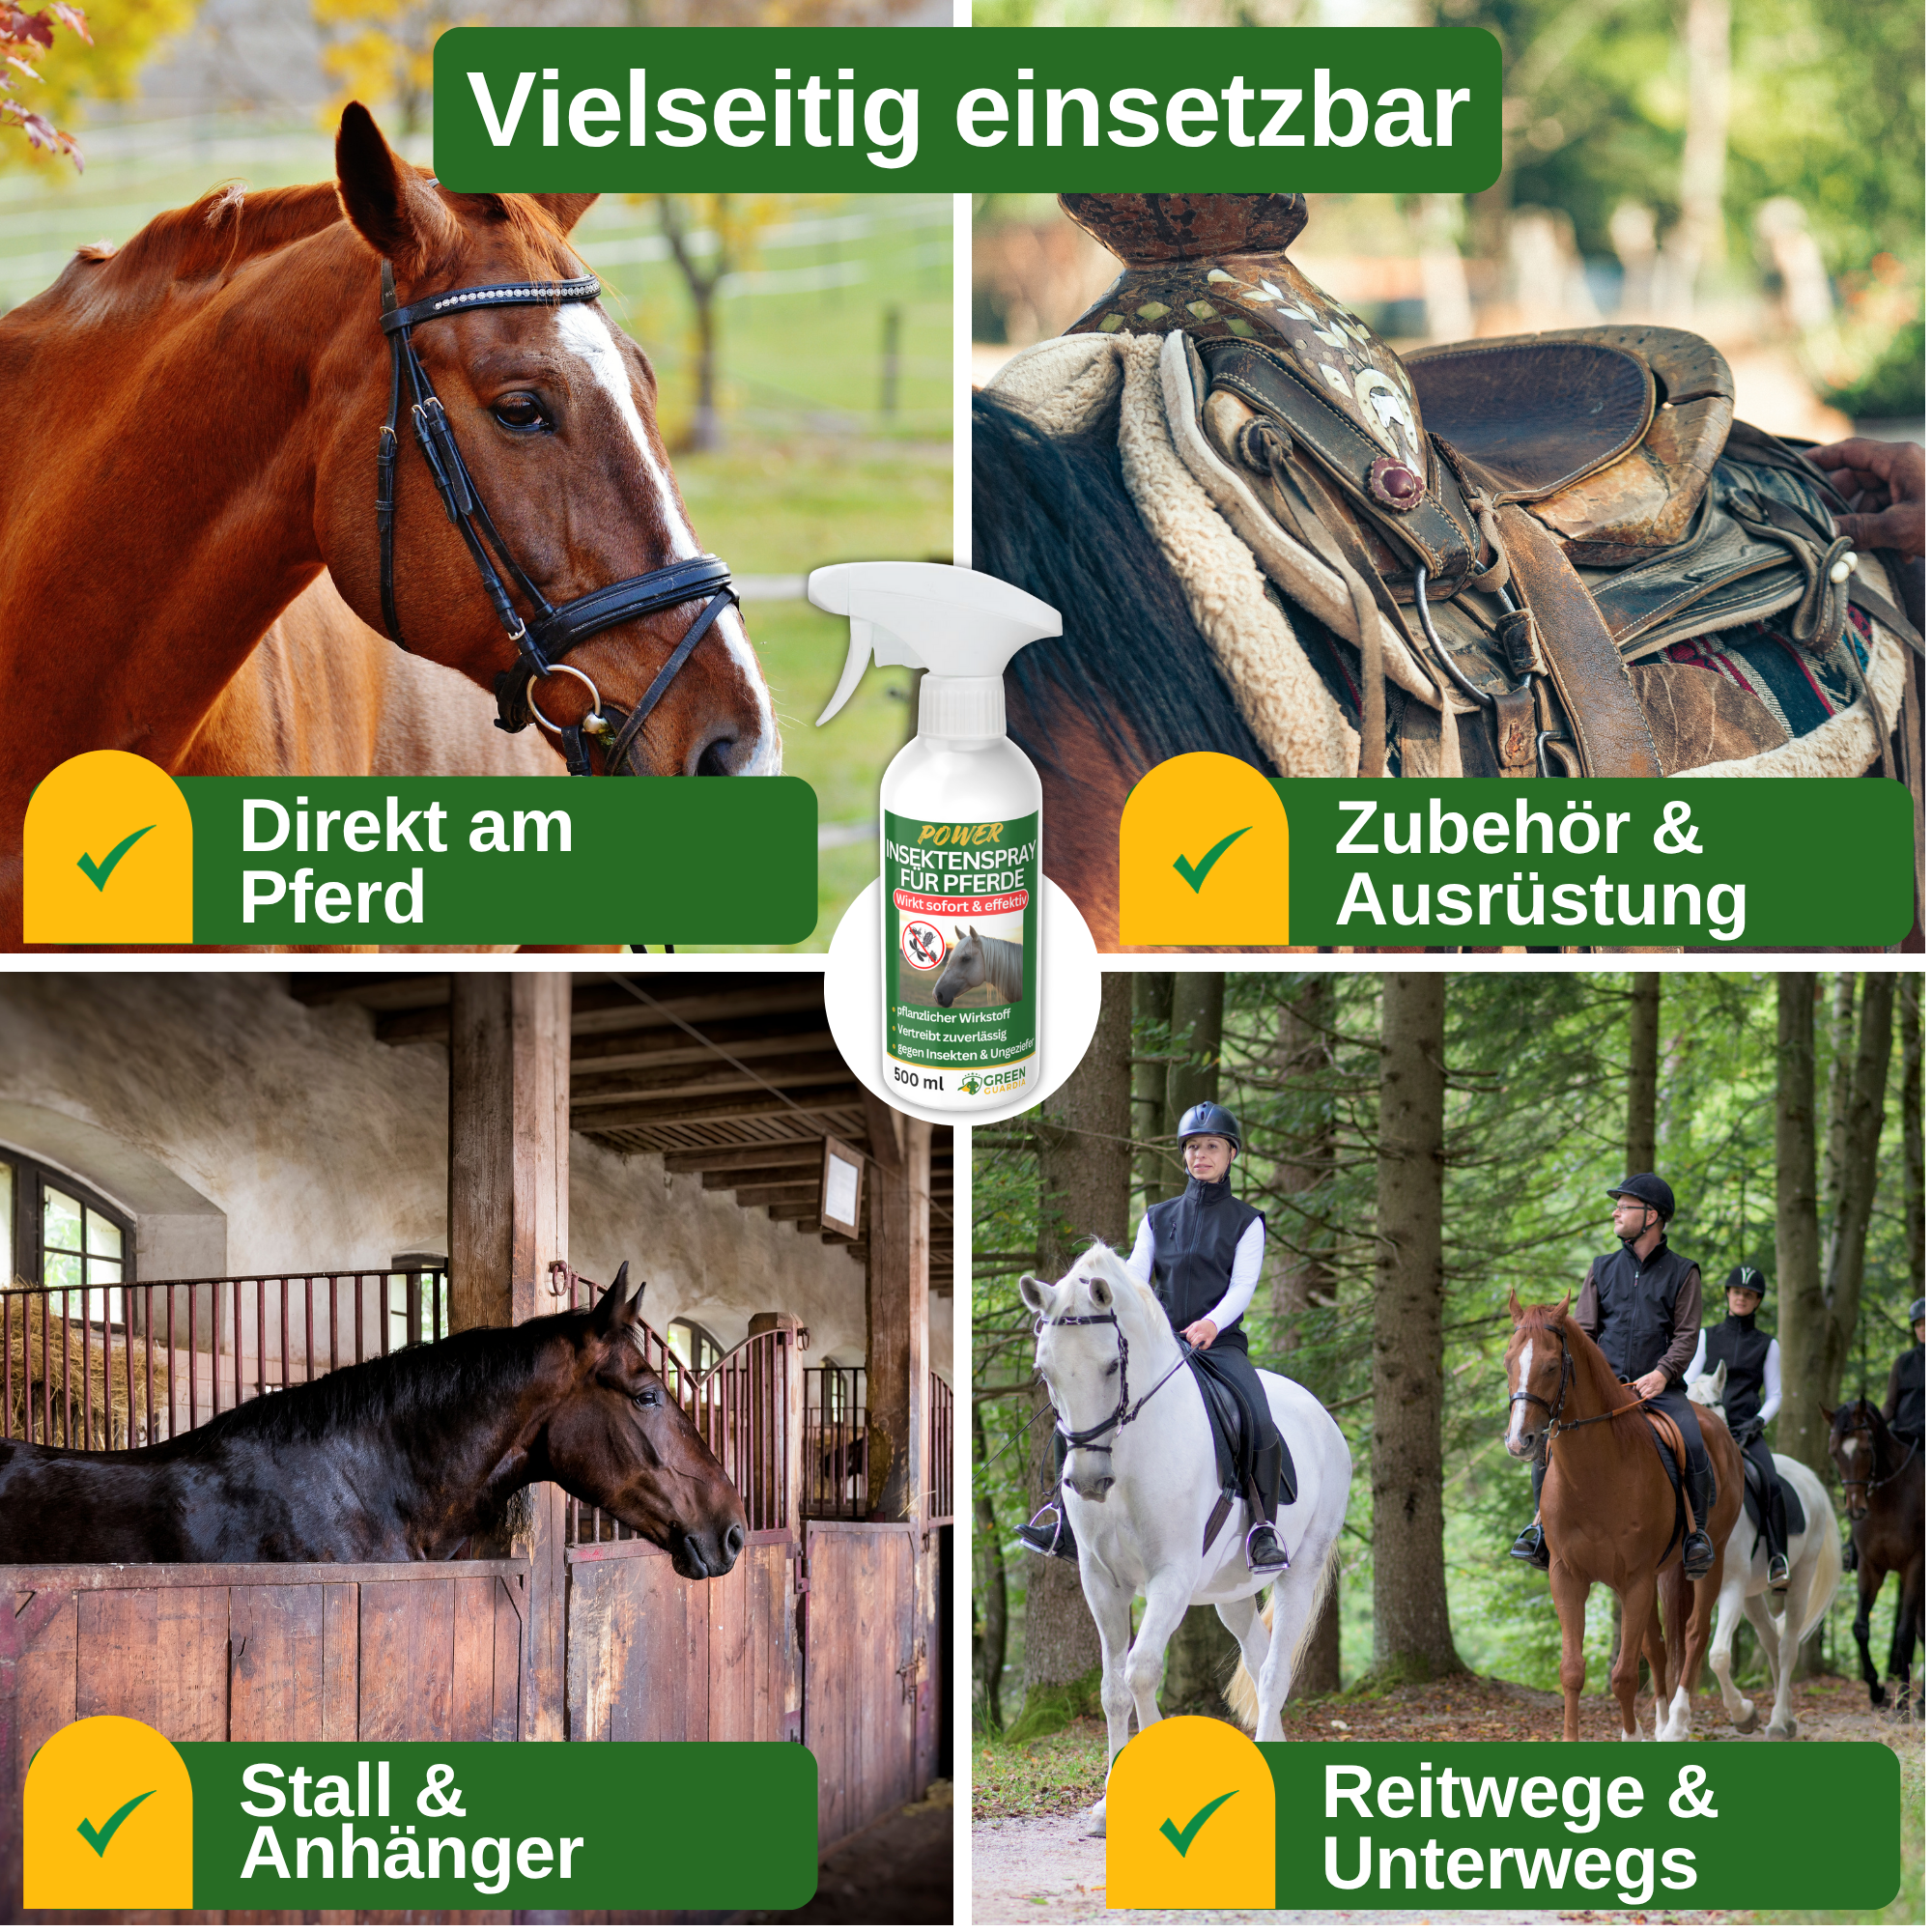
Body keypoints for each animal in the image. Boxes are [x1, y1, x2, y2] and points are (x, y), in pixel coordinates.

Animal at [1019, 1241, 1350, 1835]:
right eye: (1045, 1369)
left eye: (1111, 1365)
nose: (1087, 1482)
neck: (1129, 1451)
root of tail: (1322, 1418)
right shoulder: (1101, 1581)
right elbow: (1112, 1691)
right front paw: (1107, 1807)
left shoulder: (1169, 1578)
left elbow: (1141, 1673)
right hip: (1230, 1593)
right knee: (1258, 1656)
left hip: (1301, 1569)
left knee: (1274, 1671)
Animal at [1503, 1292, 1743, 1742]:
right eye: (1509, 1361)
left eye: (1551, 1365)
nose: (1519, 1441)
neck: (1595, 1475)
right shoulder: (1568, 1576)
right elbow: (1573, 1671)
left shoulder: (1635, 1580)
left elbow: (1625, 1676)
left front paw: (1633, 1736)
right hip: (1655, 1576)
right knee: (1659, 1646)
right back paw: (1663, 1722)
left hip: (1708, 1560)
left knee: (1695, 1633)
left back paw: (1678, 1723)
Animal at [1684, 1359, 1839, 1738]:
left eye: (1712, 1407)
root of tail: (1809, 1478)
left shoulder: (1730, 1586)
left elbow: (1718, 1656)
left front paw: (1742, 1713)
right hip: (1752, 1594)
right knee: (1770, 1639)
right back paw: (1786, 1716)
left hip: (1799, 1577)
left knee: (1787, 1645)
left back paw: (1779, 1721)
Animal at [1823, 1396, 1925, 1709]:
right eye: (1834, 1454)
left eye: (1866, 1449)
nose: (1855, 1510)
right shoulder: (1871, 1568)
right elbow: (1860, 1627)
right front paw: (1877, 1691)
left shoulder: (1914, 1565)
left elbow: (1904, 1634)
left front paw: (1902, 1701)